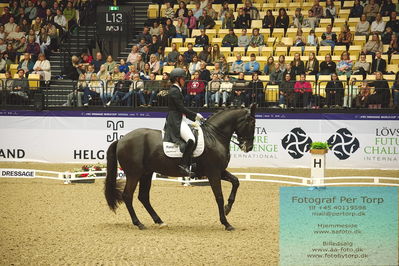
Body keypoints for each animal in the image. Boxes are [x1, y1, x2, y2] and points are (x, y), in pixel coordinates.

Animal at [104, 104, 258, 231]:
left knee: (143, 197)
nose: (248, 147)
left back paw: (159, 221)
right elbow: (219, 196)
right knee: (127, 196)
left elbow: (236, 182)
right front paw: (226, 223)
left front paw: (227, 208)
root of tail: (121, 140)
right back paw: (139, 223)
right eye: (252, 122)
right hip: (134, 173)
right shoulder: (213, 172)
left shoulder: (220, 171)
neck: (215, 136)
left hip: (146, 173)